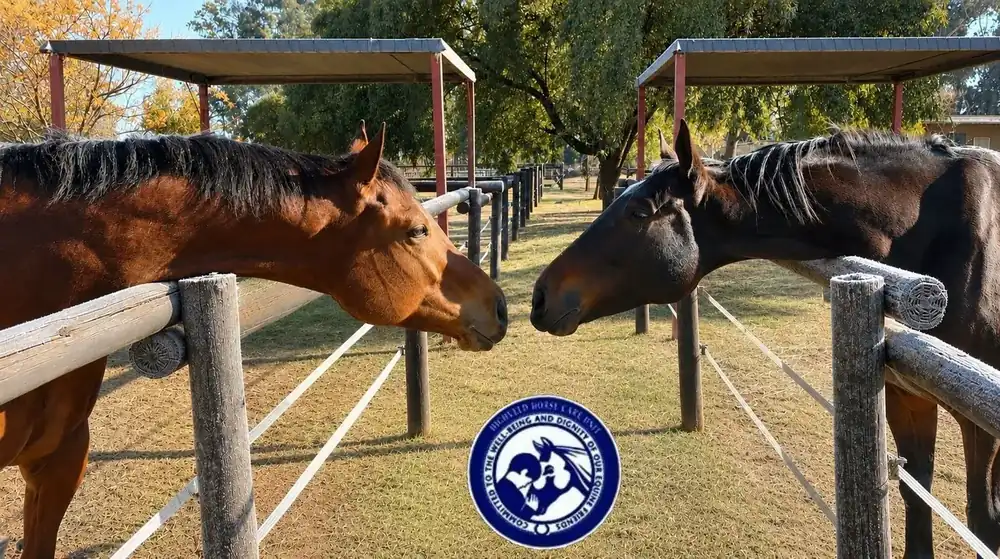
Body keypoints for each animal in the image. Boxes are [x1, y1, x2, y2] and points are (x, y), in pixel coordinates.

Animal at [530, 119, 1000, 558]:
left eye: (640, 213)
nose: (540, 297)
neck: (923, 224)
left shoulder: (980, 422)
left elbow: (982, 519)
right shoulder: (907, 397)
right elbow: (916, 495)